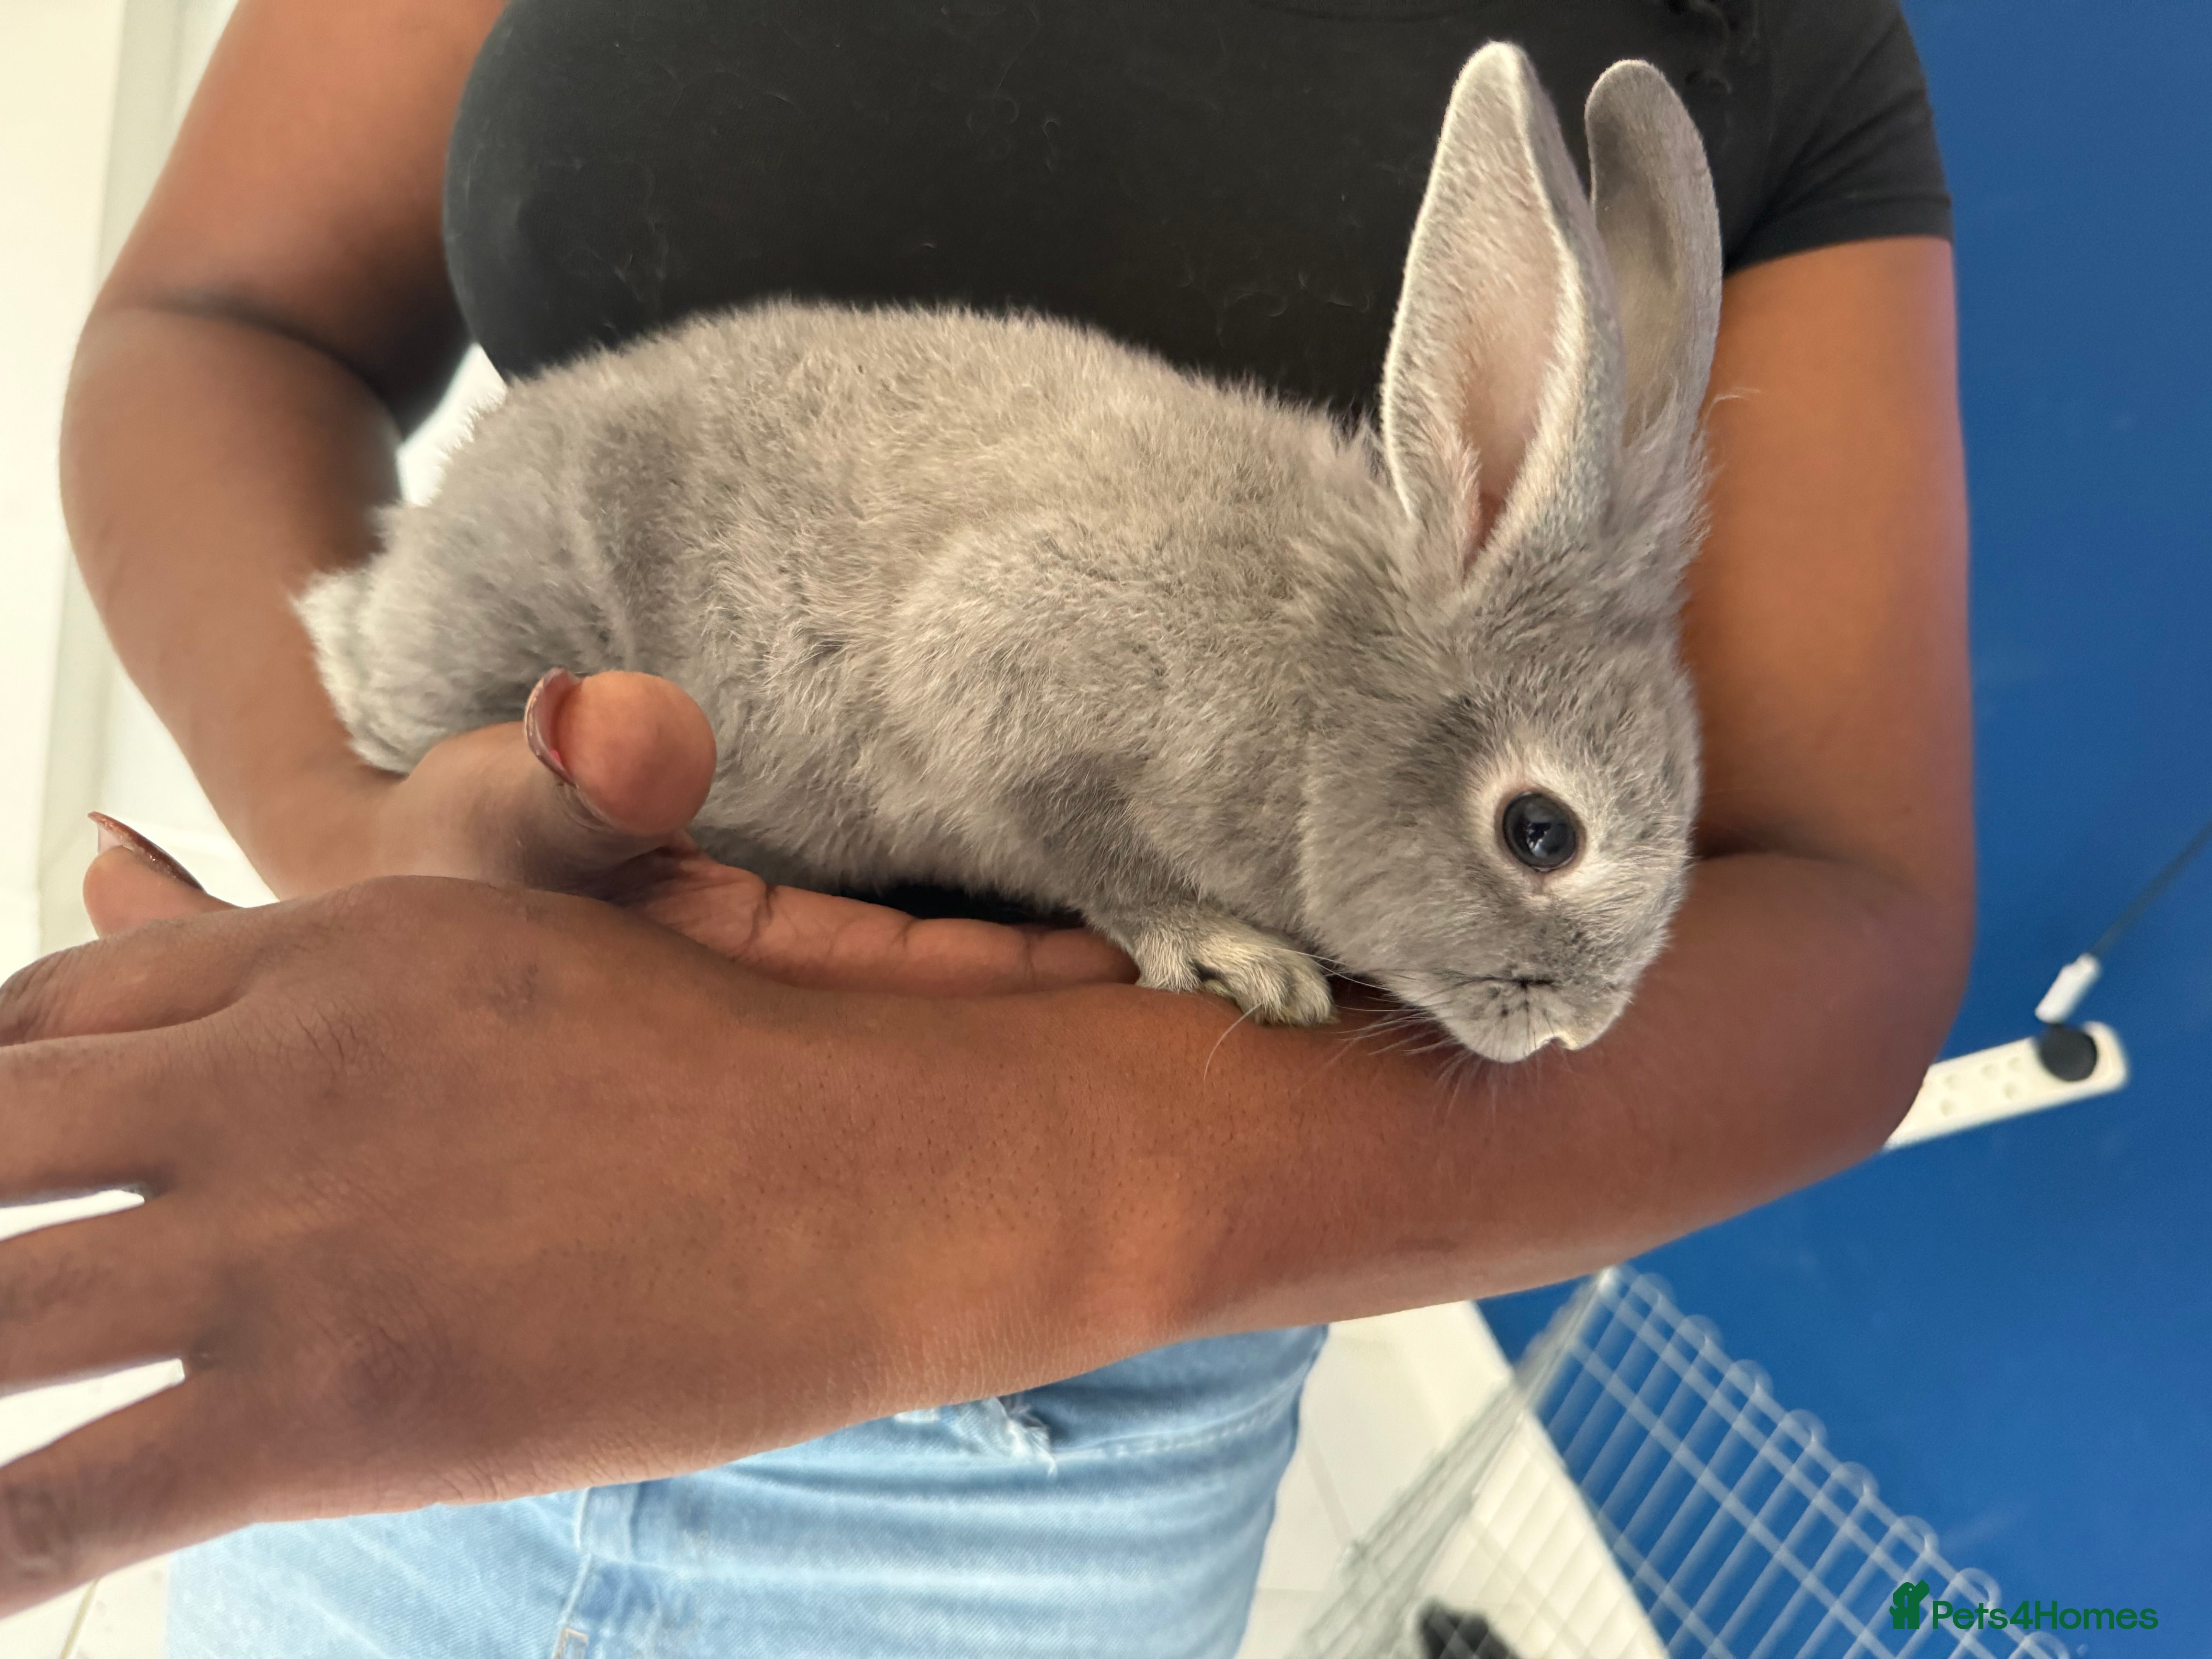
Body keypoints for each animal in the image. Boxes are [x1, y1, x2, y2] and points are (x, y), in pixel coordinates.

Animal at [300, 43, 1722, 1064]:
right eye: (1541, 832)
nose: (1578, 1027)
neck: (1326, 675)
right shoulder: (1000, 669)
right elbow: (1084, 844)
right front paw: (1233, 955)